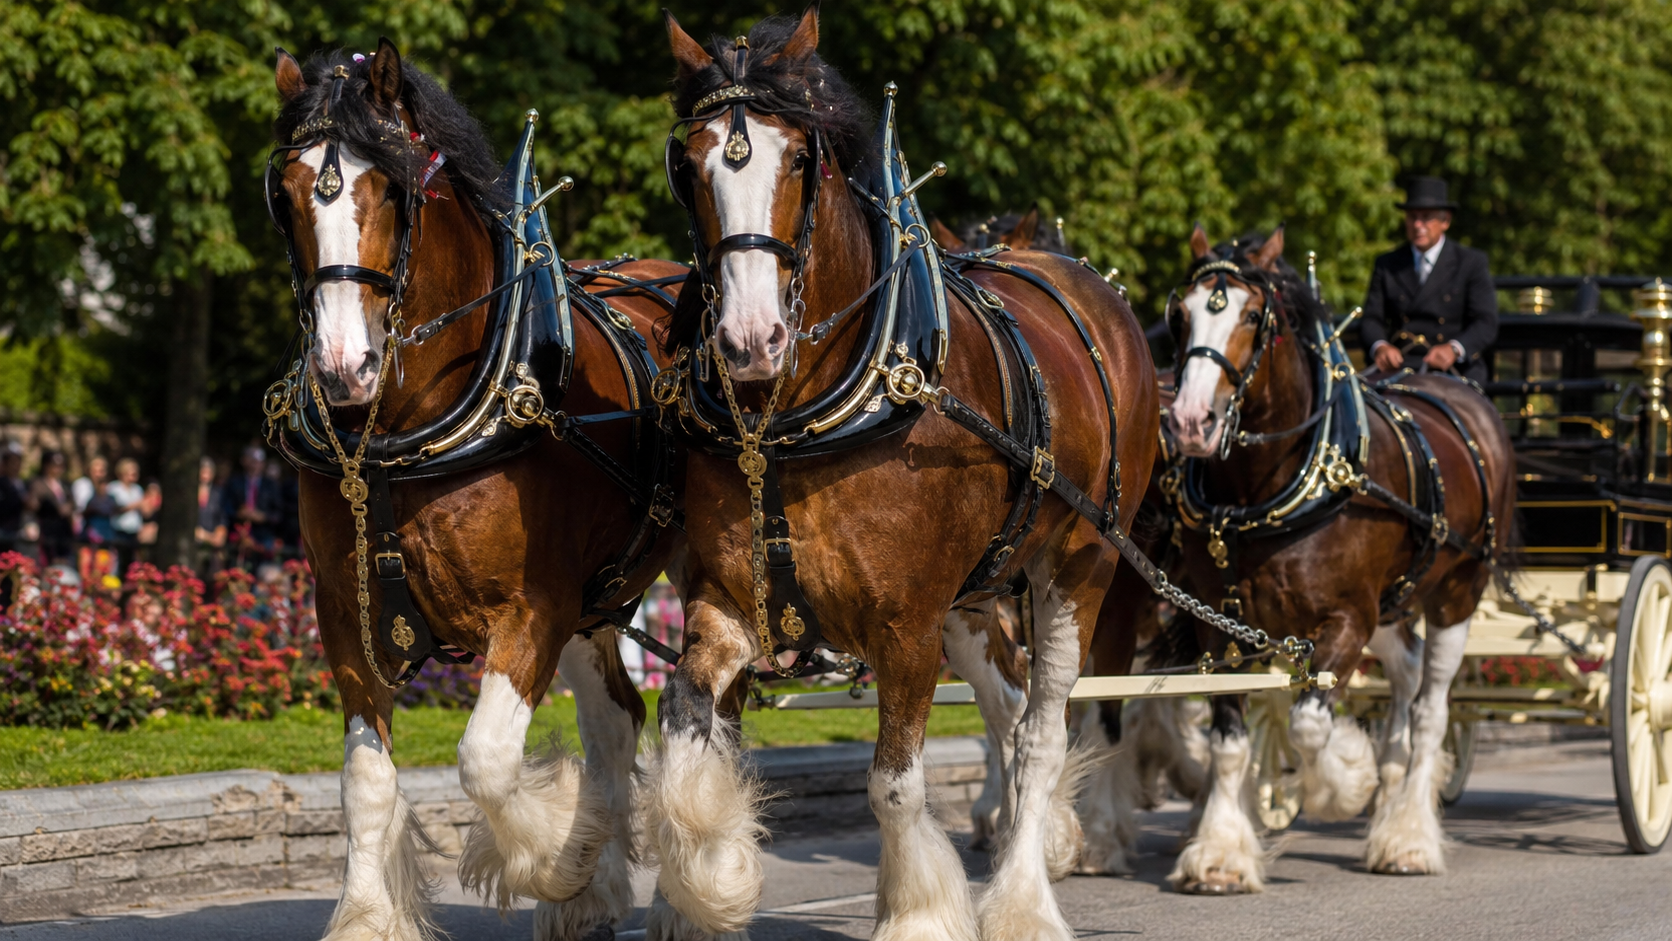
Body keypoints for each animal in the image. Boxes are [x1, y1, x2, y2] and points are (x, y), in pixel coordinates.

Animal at [265, 42, 684, 940]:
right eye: (285, 195)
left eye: (392, 188)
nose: (342, 367)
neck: (403, 431)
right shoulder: (342, 608)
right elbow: (366, 780)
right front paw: (366, 915)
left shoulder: (533, 606)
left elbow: (485, 760)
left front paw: (554, 858)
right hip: (600, 597)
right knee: (619, 717)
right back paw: (599, 890)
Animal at [648, 10, 1157, 940]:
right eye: (691, 163)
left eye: (800, 159)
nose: (749, 339)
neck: (794, 422)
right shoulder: (727, 602)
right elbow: (687, 727)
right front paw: (709, 882)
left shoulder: (907, 628)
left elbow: (893, 784)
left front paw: (918, 909)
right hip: (974, 594)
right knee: (1006, 702)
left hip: (1081, 563)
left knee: (1041, 727)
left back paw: (1024, 894)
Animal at [1159, 225, 1514, 891]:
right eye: (1180, 314)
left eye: (1253, 317)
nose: (1192, 421)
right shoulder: (1216, 626)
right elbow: (1229, 743)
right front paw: (1220, 852)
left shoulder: (1349, 619)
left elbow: (1308, 722)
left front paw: (1343, 782)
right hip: (1394, 604)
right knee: (1407, 671)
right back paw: (1394, 793)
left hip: (1458, 592)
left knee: (1431, 709)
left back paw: (1407, 836)